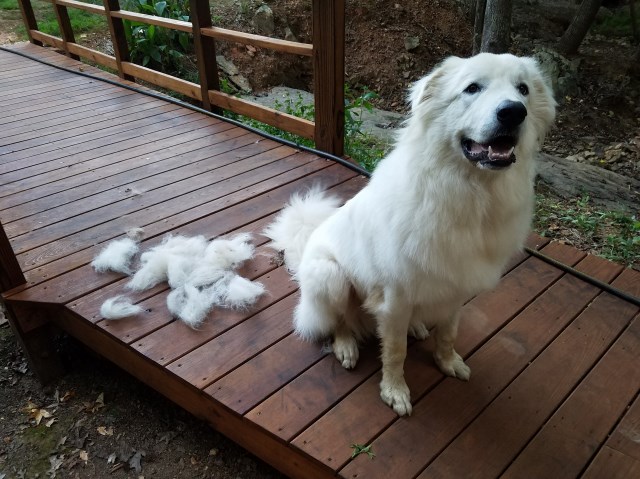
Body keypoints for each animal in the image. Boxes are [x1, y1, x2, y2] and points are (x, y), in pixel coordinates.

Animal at [264, 53, 556, 416]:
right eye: (472, 88)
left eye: (523, 89)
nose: (514, 112)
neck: (470, 195)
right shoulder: (394, 299)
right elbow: (395, 351)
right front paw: (394, 391)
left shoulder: (456, 288)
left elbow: (448, 332)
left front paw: (448, 362)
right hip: (329, 275)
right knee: (339, 320)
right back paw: (346, 346)